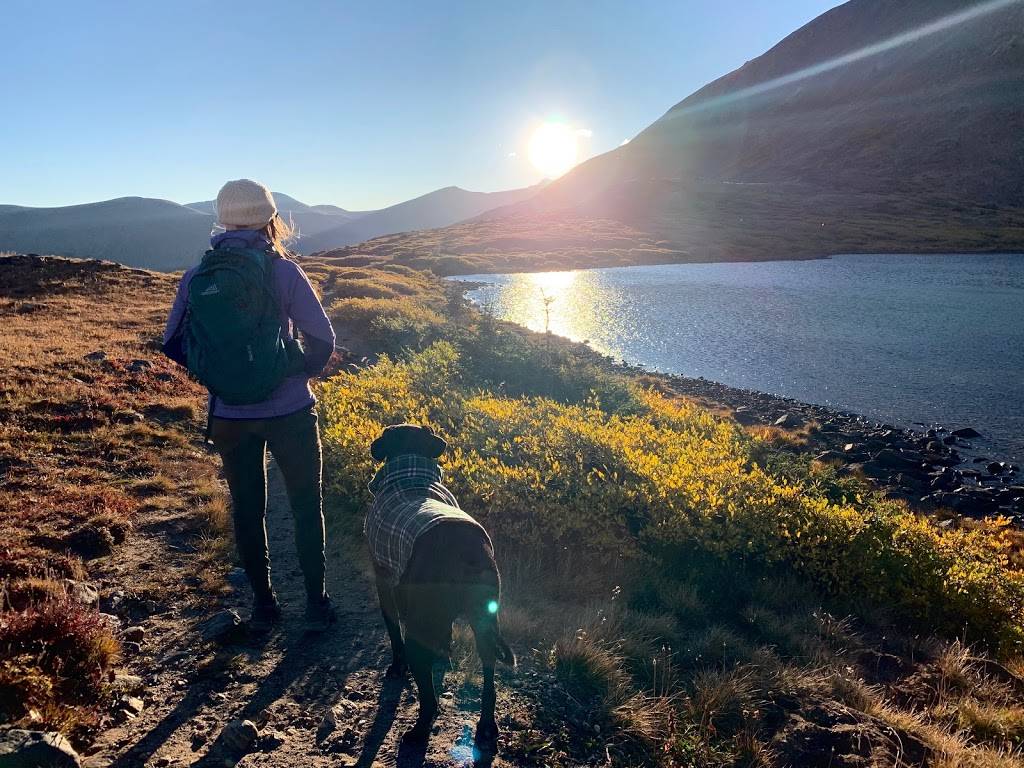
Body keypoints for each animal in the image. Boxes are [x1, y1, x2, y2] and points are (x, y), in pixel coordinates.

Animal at [366, 423, 516, 749]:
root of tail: (466, 550)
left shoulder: (385, 582)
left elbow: (393, 631)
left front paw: (396, 669)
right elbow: (444, 640)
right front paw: (444, 657)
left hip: (421, 628)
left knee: (429, 700)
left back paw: (418, 732)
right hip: (484, 621)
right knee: (488, 675)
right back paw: (486, 726)